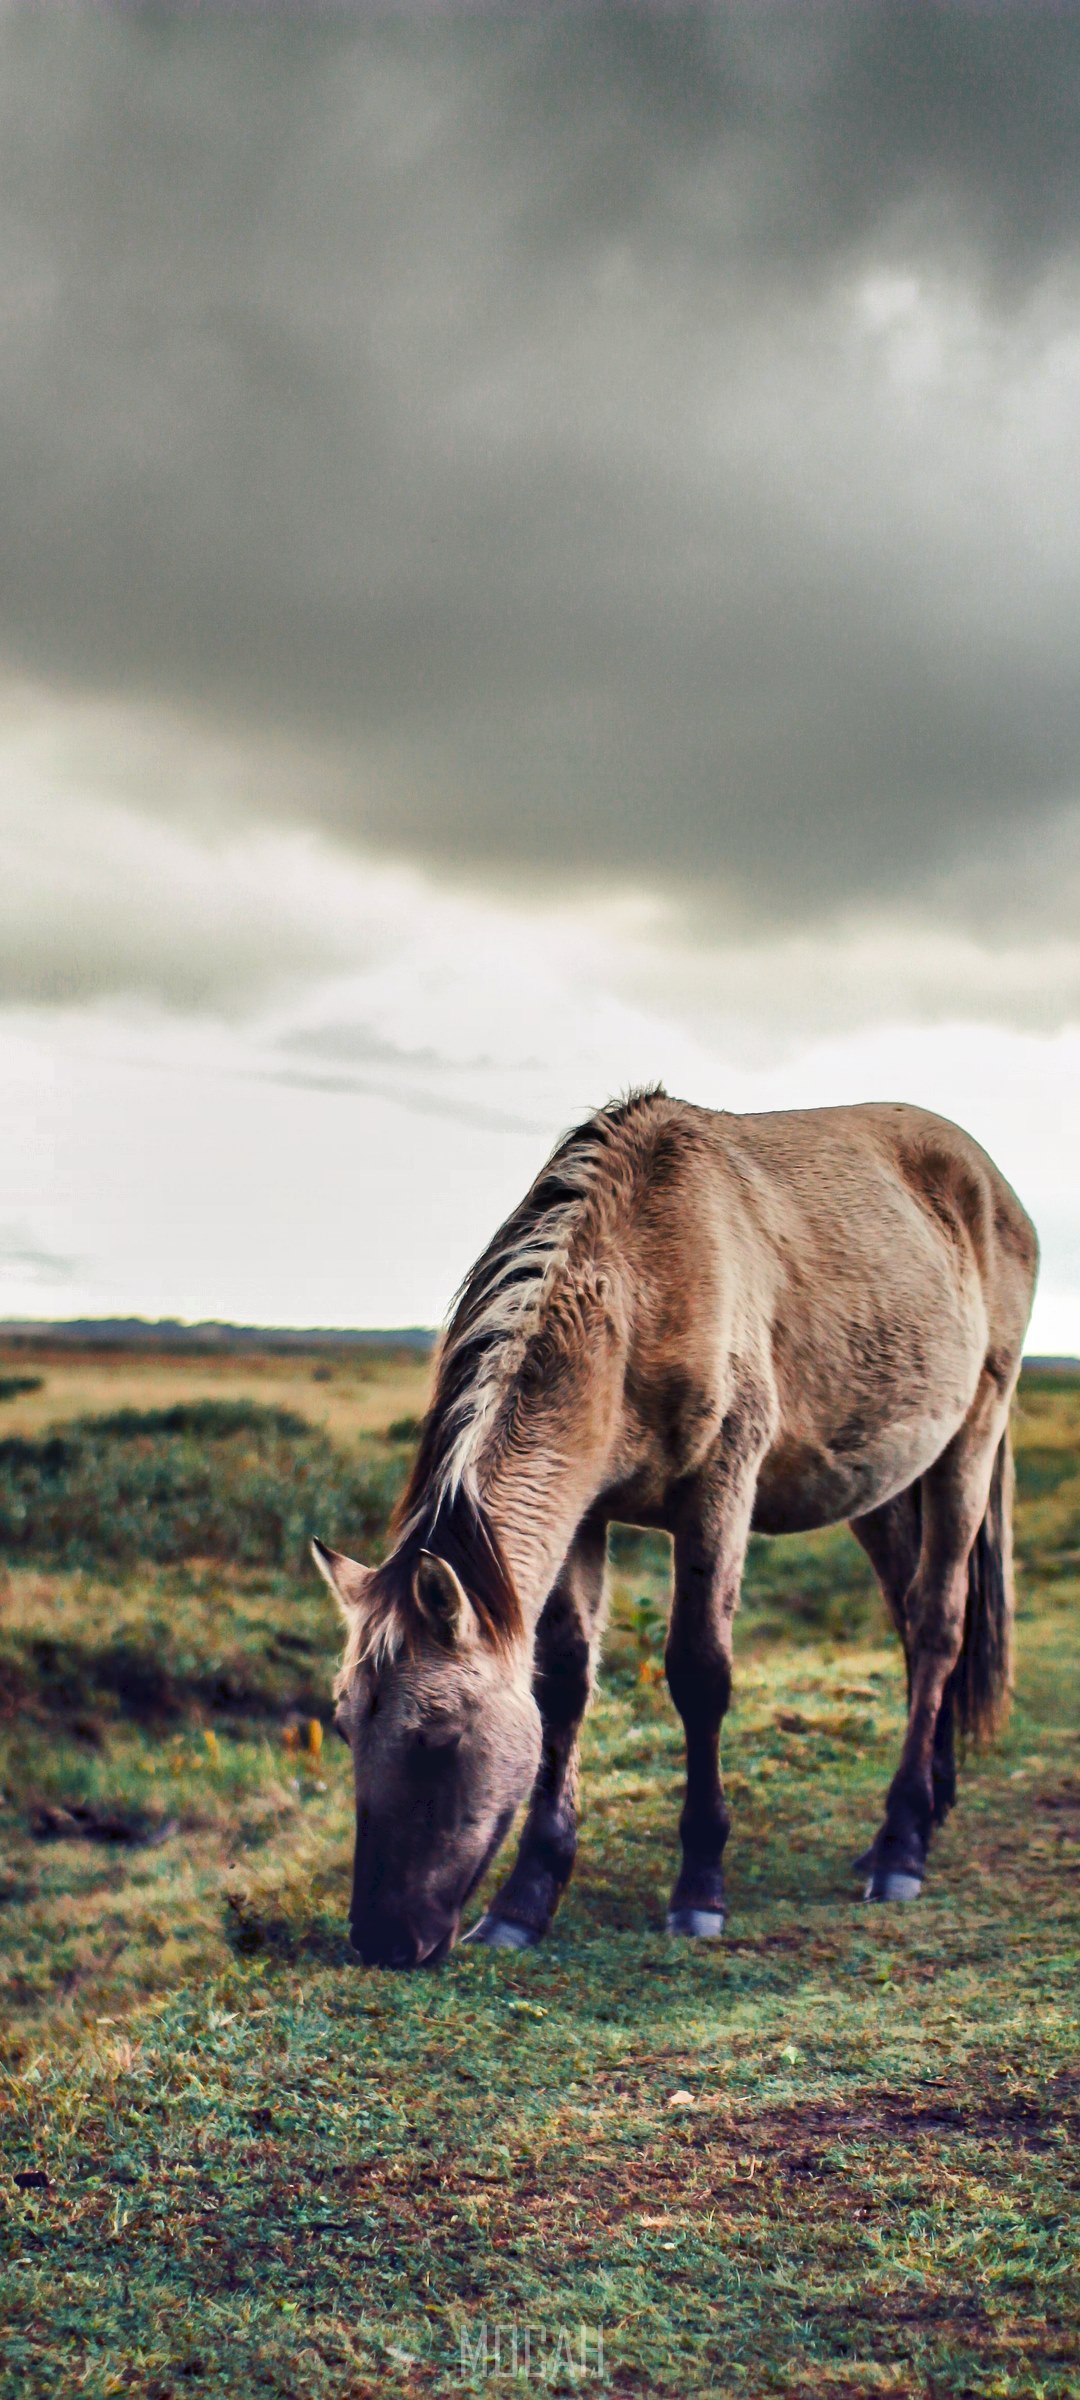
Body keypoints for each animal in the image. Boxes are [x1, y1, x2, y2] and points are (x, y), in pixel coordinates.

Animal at [313, 1088, 1037, 1970]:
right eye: (346, 1725)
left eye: (439, 1736)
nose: (380, 1940)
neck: (641, 1282)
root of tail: (991, 1185)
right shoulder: (583, 1513)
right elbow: (564, 1685)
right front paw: (525, 1901)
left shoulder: (720, 1488)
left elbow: (700, 1672)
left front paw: (699, 1890)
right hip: (884, 1485)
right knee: (909, 1618)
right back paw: (926, 1810)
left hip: (972, 1438)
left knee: (936, 1623)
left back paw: (901, 1846)